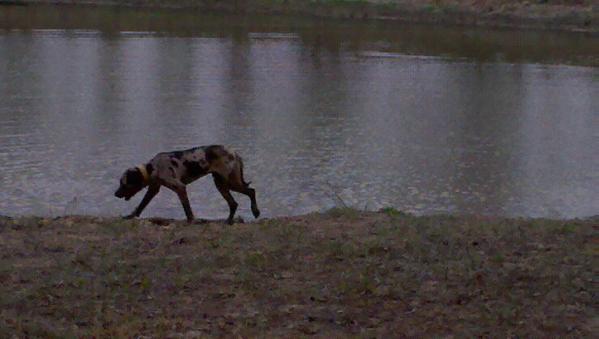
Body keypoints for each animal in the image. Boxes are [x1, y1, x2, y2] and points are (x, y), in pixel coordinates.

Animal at [115, 145, 260, 224]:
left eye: (123, 184)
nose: (115, 194)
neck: (152, 168)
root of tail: (234, 153)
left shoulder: (180, 187)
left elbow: (187, 209)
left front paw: (191, 221)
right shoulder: (153, 189)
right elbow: (140, 206)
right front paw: (130, 216)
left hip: (229, 182)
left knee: (251, 191)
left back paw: (255, 211)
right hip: (221, 184)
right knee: (234, 203)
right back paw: (228, 222)